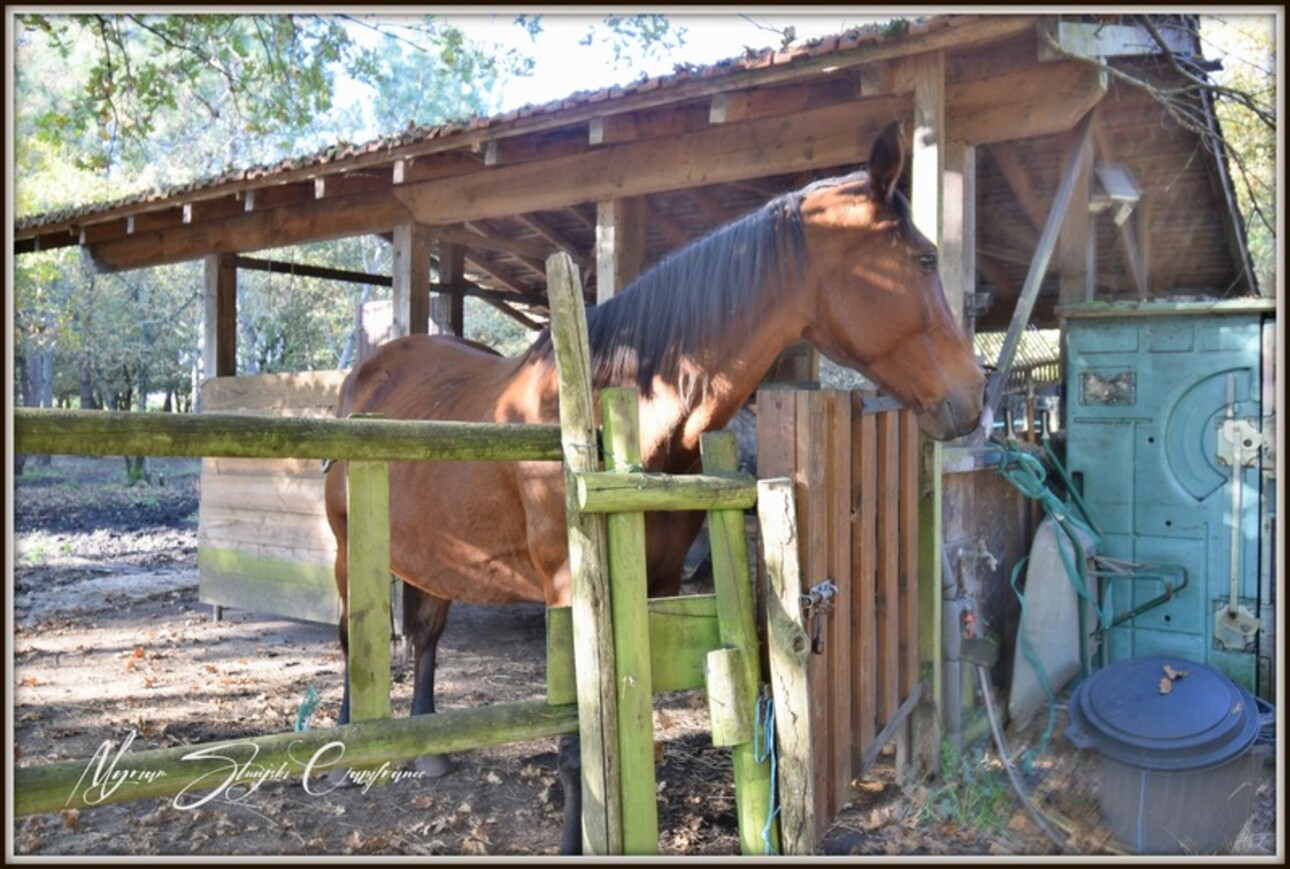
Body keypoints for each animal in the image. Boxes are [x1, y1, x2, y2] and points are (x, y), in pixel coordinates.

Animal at [325, 119, 985, 845]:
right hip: (347, 552)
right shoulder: (571, 595)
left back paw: (430, 747)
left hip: (435, 555)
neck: (626, 416)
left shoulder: (660, 579)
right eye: (924, 259)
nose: (975, 395)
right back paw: (342, 751)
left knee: (426, 633)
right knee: (351, 636)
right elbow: (578, 740)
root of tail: (367, 374)